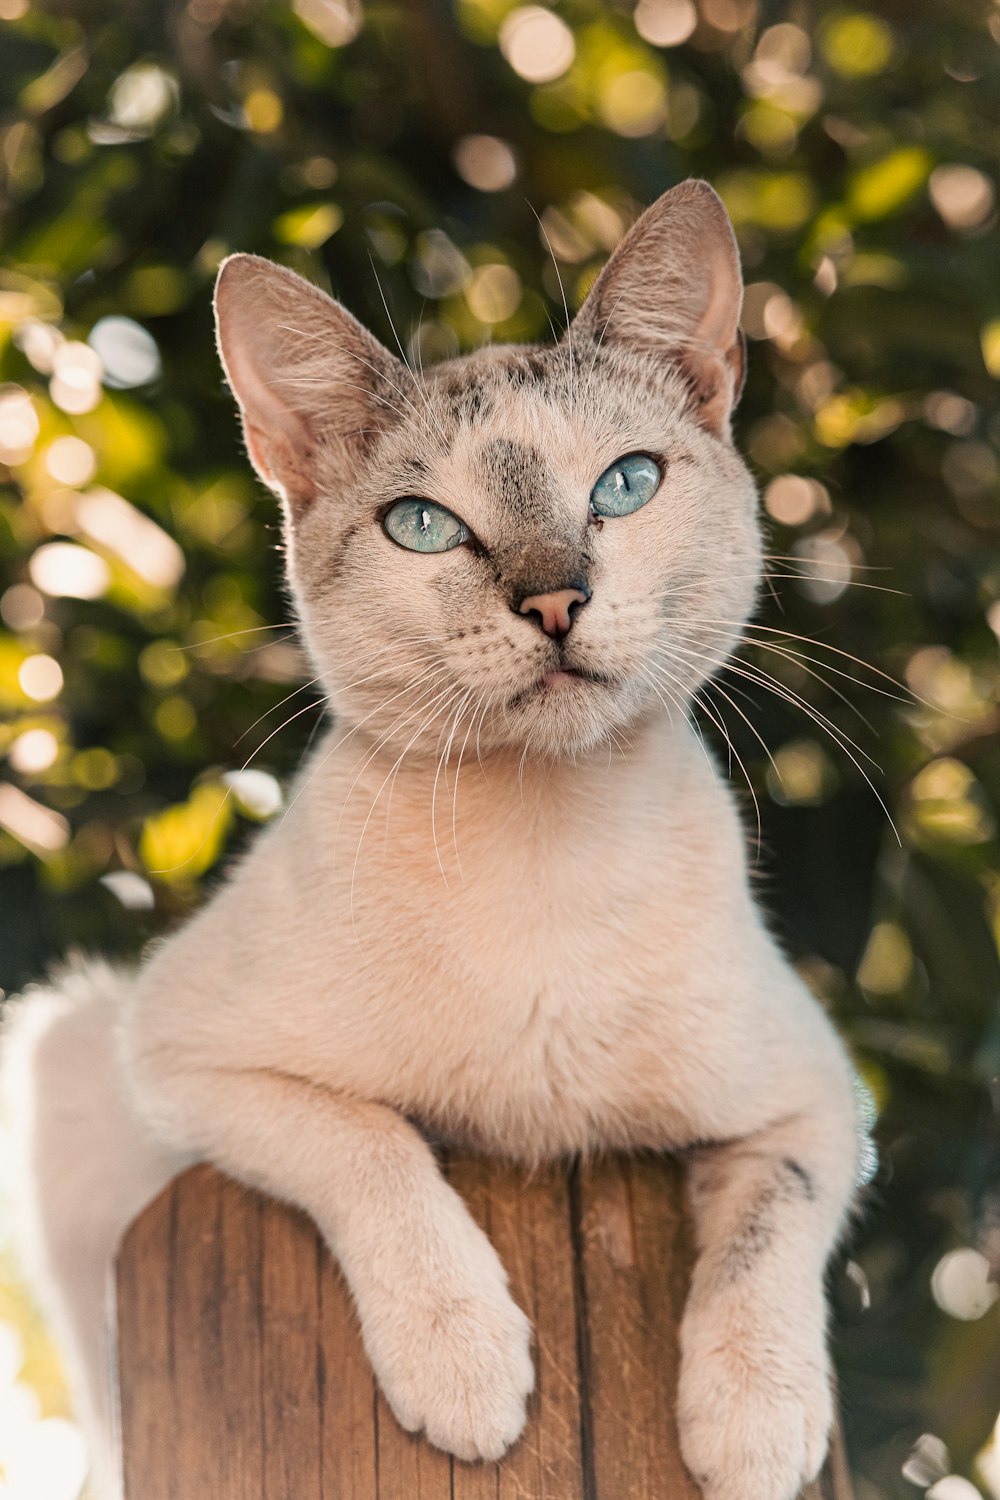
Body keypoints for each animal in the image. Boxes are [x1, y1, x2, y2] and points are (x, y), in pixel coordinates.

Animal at [0, 184, 863, 1500]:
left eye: (625, 486)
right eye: (423, 526)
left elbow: (771, 1228)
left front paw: (757, 1427)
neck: (545, 844)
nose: (554, 600)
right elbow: (371, 1144)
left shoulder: (814, 1096)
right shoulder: (176, 1054)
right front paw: (466, 1371)